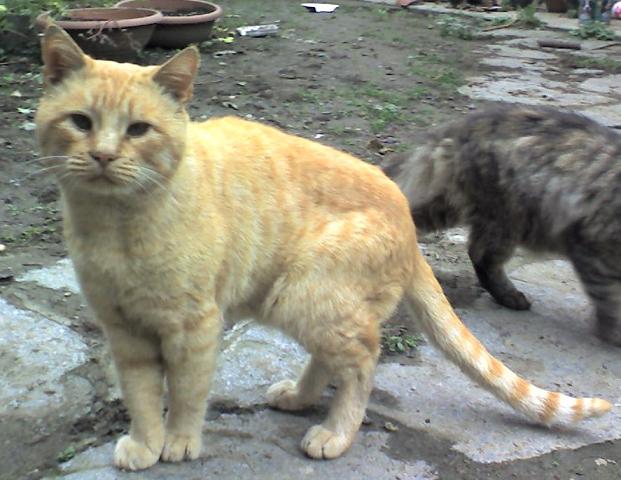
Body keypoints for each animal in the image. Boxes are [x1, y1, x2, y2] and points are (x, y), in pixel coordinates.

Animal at [383, 103, 621, 346]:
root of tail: (460, 128)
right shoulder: (594, 249)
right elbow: (610, 298)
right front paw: (615, 333)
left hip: (454, 206)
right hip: (505, 219)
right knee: (482, 256)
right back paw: (509, 296)